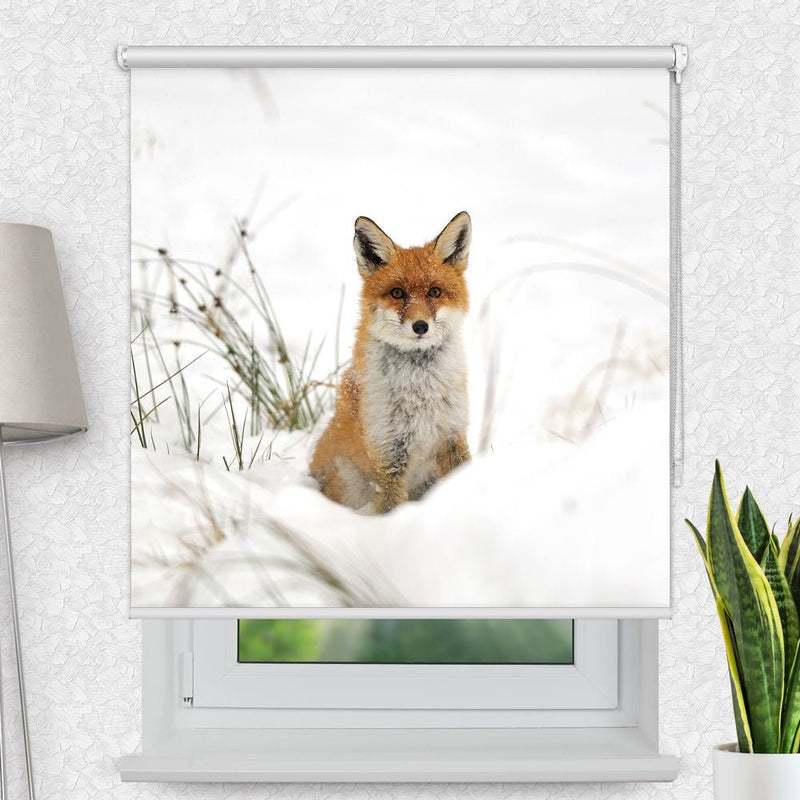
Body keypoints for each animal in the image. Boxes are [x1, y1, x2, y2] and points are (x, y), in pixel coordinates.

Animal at [310, 211, 472, 514]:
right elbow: (390, 506)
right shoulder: (388, 453)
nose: (420, 326)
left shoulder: (453, 434)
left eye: (435, 292)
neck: (421, 391)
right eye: (397, 293)